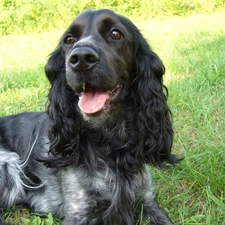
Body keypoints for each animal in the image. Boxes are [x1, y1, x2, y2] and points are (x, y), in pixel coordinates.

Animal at [0, 9, 179, 225]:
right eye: (69, 39)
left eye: (116, 34)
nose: (81, 58)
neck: (110, 144)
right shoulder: (80, 211)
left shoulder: (145, 202)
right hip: (8, 164)